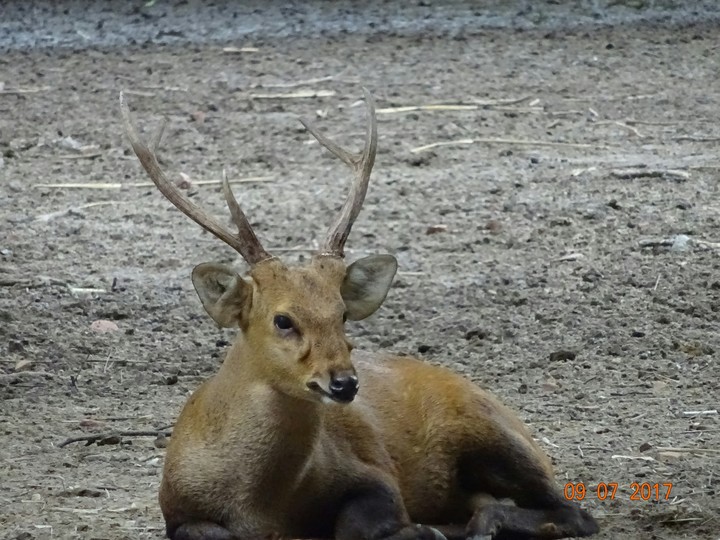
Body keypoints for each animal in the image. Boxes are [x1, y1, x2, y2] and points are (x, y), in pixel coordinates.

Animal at [120, 89, 599, 540]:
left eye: (343, 314)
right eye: (282, 319)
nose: (345, 382)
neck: (261, 504)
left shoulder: (372, 474)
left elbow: (356, 524)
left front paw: (420, 529)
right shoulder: (176, 508)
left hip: (495, 435)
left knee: (574, 511)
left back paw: (479, 524)